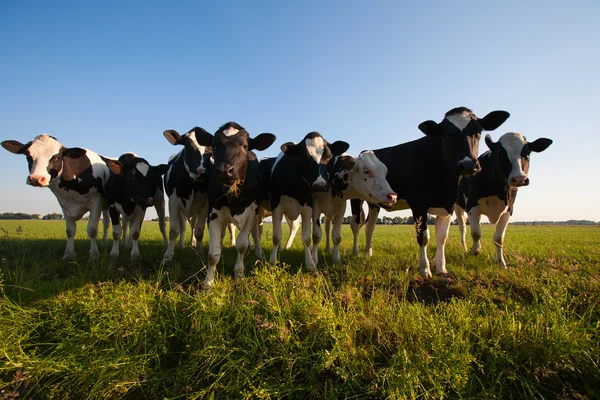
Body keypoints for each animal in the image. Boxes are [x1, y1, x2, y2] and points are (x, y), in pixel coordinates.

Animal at [162, 126, 213, 262]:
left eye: (211, 148)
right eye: (188, 147)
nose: (202, 171)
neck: (192, 186)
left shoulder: (205, 205)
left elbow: (199, 231)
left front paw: (199, 252)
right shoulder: (173, 202)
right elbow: (174, 231)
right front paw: (168, 256)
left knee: (193, 226)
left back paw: (193, 243)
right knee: (183, 227)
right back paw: (181, 246)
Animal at [195, 120, 276, 290]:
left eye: (245, 146)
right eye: (214, 145)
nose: (225, 171)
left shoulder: (252, 212)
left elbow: (242, 245)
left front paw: (239, 274)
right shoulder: (214, 212)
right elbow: (213, 253)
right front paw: (208, 282)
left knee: (256, 234)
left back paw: (258, 253)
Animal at [350, 108, 508, 280]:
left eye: (478, 132)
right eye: (446, 134)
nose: (467, 165)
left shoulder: (448, 206)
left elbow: (442, 237)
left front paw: (441, 268)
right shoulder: (418, 205)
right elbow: (424, 237)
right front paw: (424, 269)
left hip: (374, 203)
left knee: (369, 227)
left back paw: (368, 253)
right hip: (356, 199)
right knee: (356, 225)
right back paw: (355, 253)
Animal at [454, 133, 552, 268]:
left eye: (527, 154)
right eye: (500, 155)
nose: (519, 179)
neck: (499, 190)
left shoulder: (508, 210)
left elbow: (499, 239)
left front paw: (501, 263)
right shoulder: (472, 207)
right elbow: (476, 233)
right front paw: (474, 251)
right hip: (457, 207)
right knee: (462, 227)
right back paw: (465, 248)